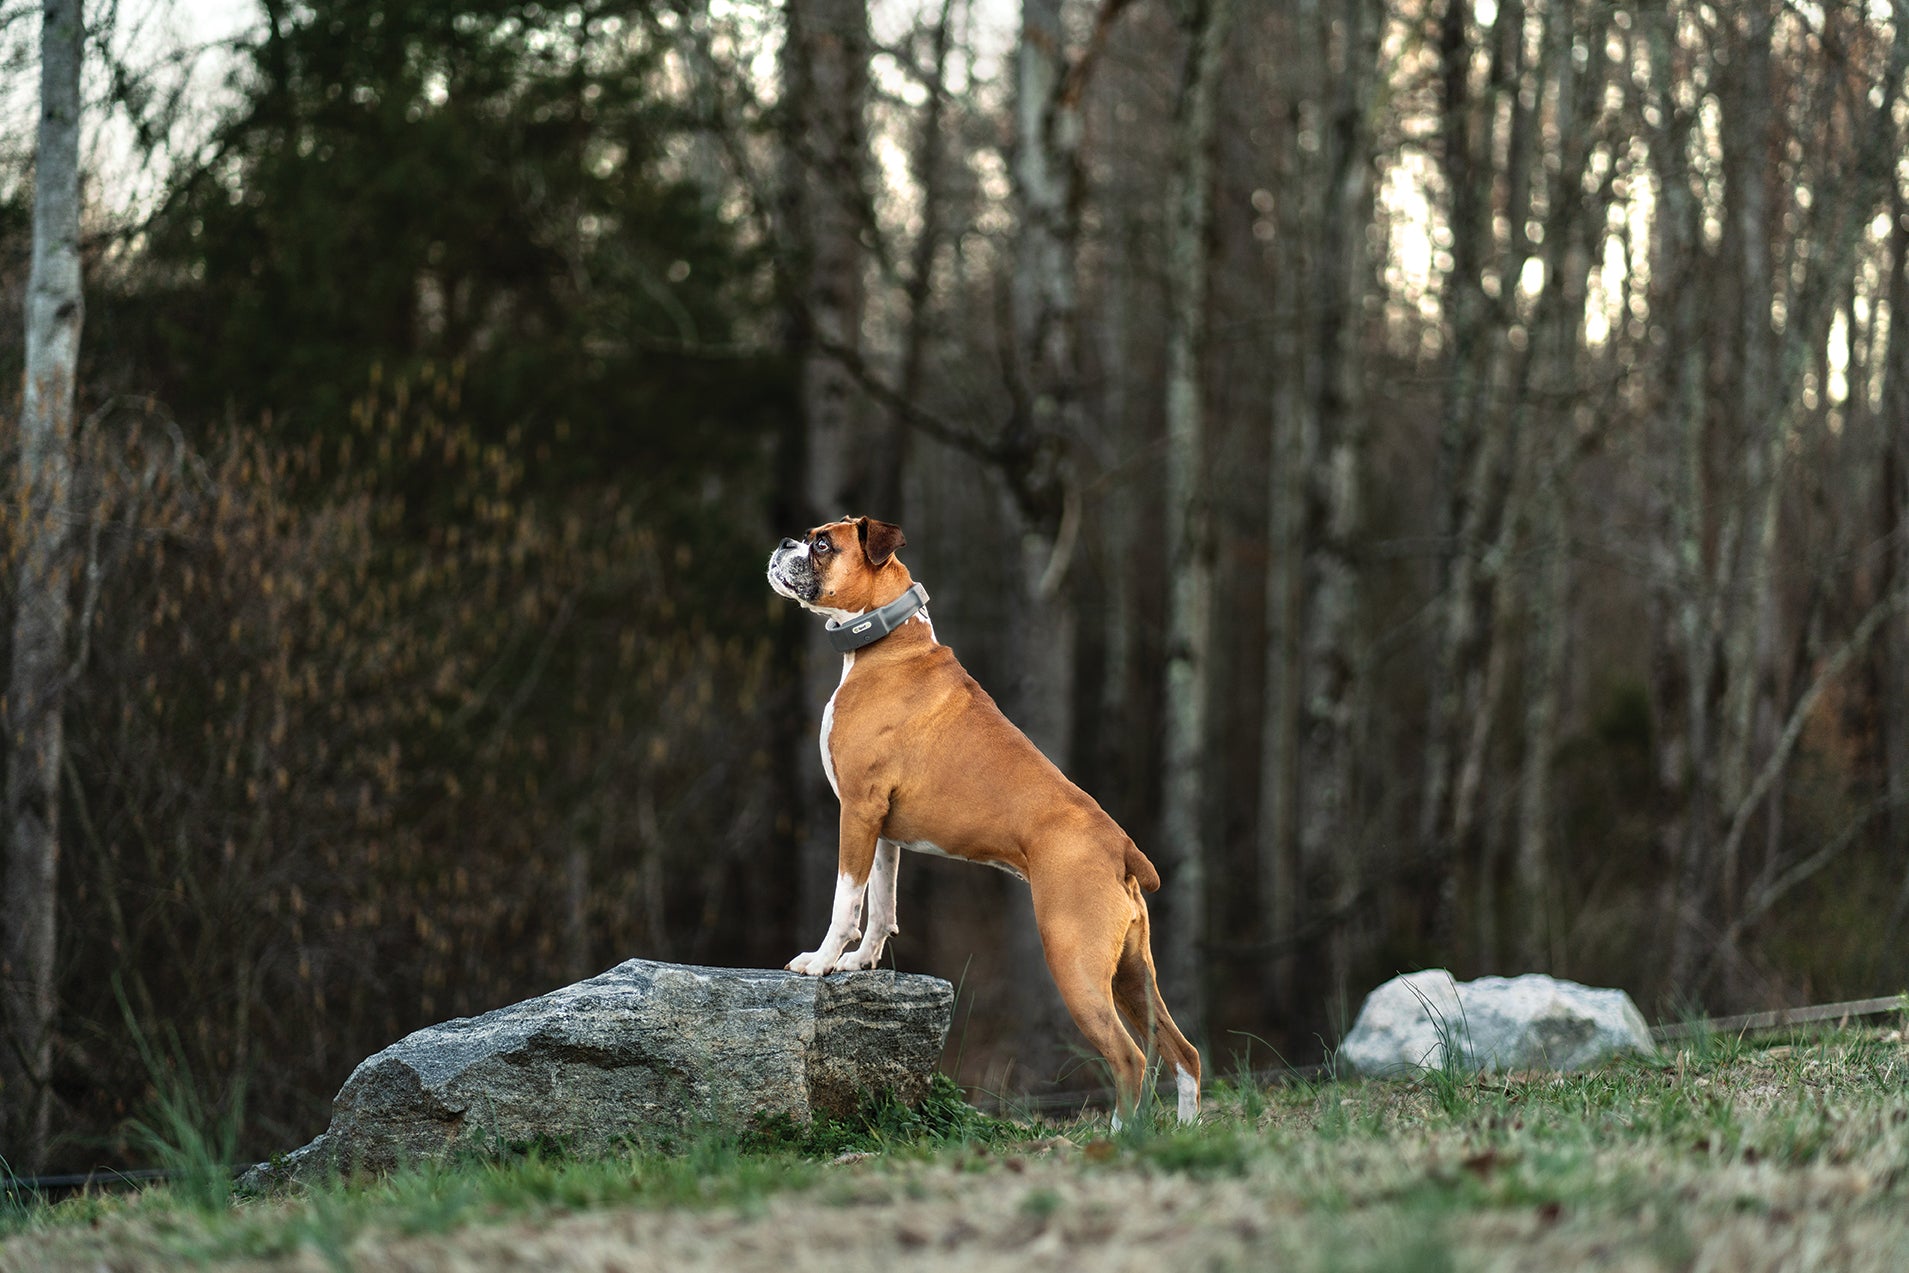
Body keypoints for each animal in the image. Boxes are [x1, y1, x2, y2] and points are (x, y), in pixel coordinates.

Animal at [759, 511, 1191, 1122]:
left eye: (822, 544)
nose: (784, 541)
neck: (888, 640)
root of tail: (1123, 847)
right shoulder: (882, 829)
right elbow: (881, 904)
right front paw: (859, 962)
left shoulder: (858, 810)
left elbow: (847, 899)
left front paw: (820, 961)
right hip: (1133, 974)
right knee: (1184, 1053)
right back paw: (1187, 1129)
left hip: (1075, 962)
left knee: (1129, 1058)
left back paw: (1118, 1133)